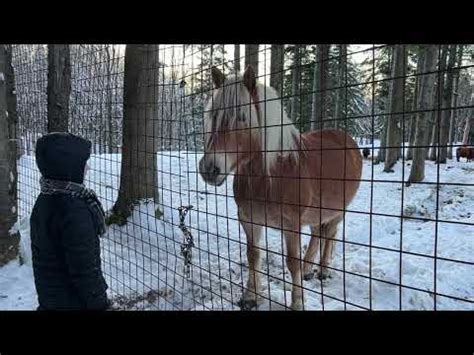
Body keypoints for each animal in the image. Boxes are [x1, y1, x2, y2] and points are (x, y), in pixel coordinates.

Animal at [198, 65, 362, 310]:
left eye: (242, 117)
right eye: (214, 116)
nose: (210, 168)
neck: (270, 174)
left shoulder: (291, 224)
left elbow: (291, 262)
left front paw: (297, 302)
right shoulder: (249, 219)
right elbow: (253, 255)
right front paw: (251, 296)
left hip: (338, 210)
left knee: (330, 233)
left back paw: (323, 270)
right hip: (318, 212)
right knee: (318, 234)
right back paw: (308, 270)